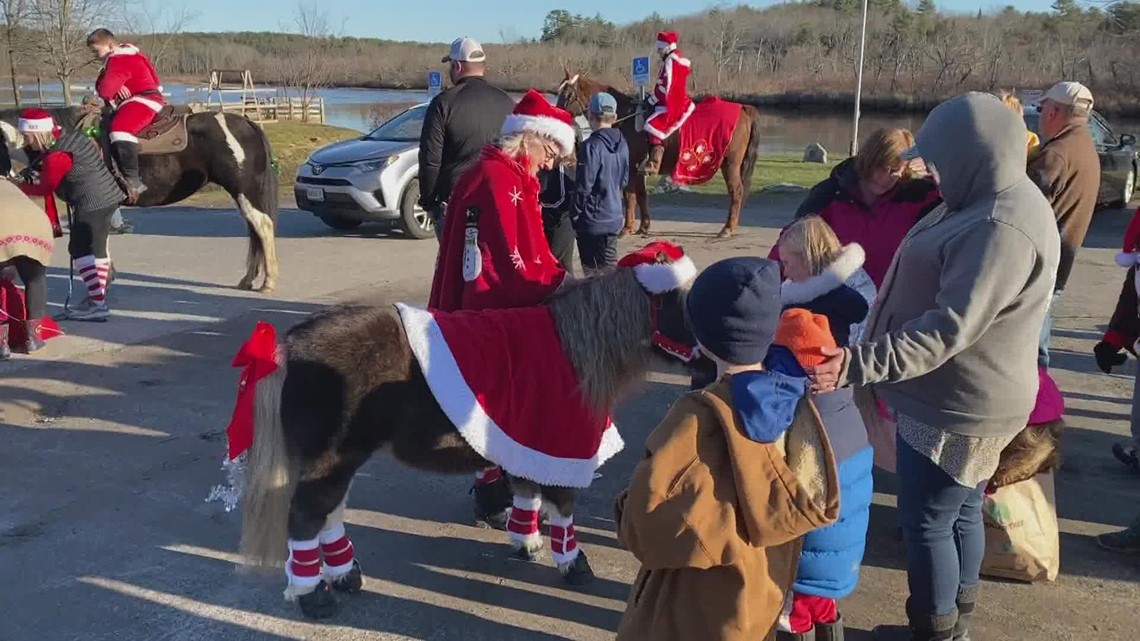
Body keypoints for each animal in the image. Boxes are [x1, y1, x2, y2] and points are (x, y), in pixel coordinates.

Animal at [233, 247, 693, 615]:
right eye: (677, 302)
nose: (703, 349)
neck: (573, 349)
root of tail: (287, 347)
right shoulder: (561, 444)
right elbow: (562, 507)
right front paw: (573, 564)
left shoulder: (529, 443)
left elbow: (527, 491)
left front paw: (526, 542)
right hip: (331, 457)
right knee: (308, 516)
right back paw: (313, 594)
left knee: (329, 512)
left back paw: (345, 575)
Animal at [554, 69, 761, 238]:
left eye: (568, 94)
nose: (558, 115)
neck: (626, 117)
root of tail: (743, 108)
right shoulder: (638, 170)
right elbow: (642, 195)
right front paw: (643, 226)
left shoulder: (632, 166)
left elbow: (629, 196)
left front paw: (626, 228)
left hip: (730, 164)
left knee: (736, 192)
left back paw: (727, 228)